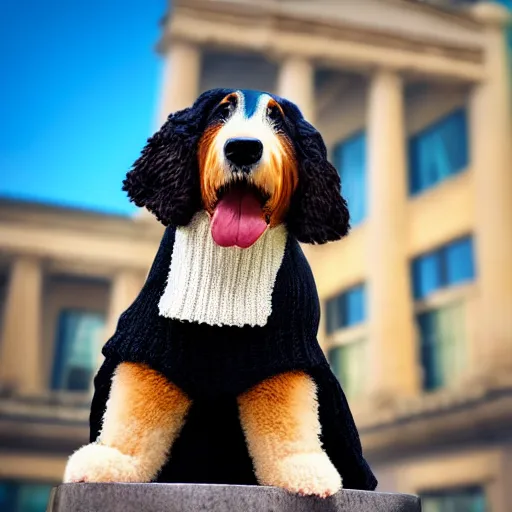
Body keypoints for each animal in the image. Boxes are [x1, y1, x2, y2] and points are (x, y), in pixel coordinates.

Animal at [63, 88, 376, 496]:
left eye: (277, 118)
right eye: (221, 111)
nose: (243, 148)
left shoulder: (285, 351)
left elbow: (287, 417)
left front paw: (302, 470)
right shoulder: (151, 339)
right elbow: (136, 408)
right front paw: (111, 460)